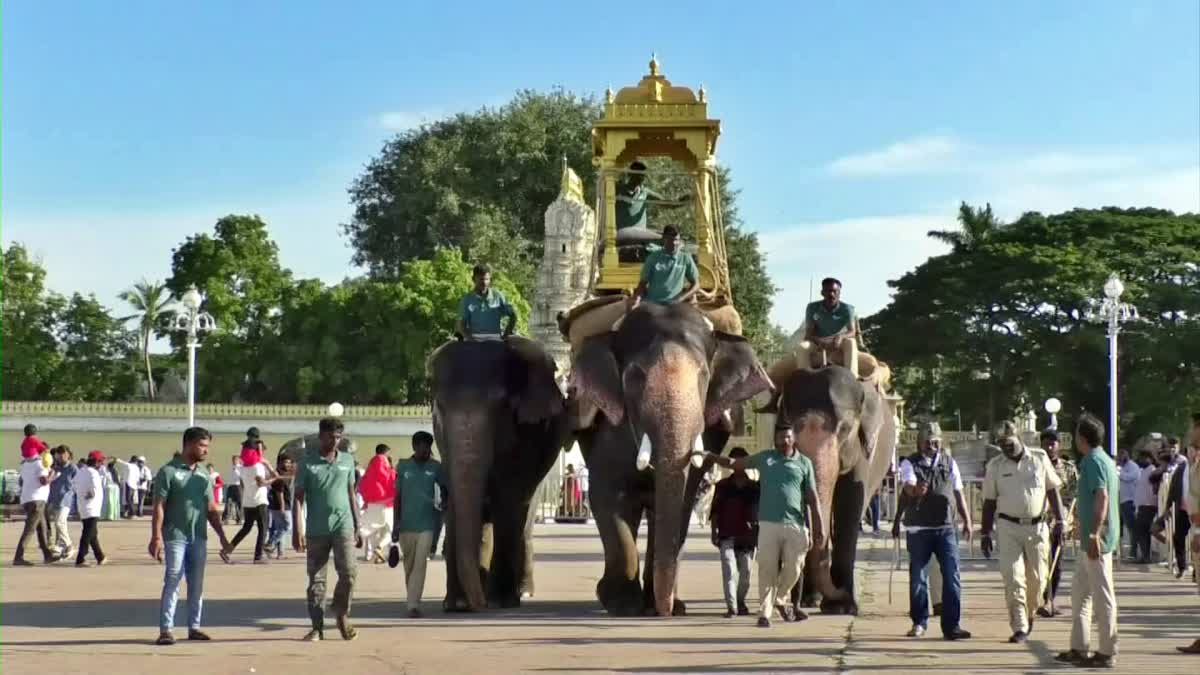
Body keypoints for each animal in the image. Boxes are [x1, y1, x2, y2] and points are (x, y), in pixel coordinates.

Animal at [427, 333, 566, 610]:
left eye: (501, 406)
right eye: (441, 407)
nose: (478, 605)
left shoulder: (528, 433)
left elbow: (509, 500)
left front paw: (500, 601)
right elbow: (457, 503)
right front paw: (456, 605)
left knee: (523, 517)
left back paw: (520, 593)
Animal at [566, 299, 772, 614]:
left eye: (704, 376)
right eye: (634, 376)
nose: (664, 612)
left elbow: (683, 500)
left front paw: (665, 607)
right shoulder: (607, 424)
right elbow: (608, 495)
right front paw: (623, 604)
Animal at [772, 365, 897, 612]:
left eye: (845, 428)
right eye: (789, 428)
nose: (840, 592)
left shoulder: (862, 453)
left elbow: (849, 506)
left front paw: (841, 608)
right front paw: (821, 602)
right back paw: (810, 600)